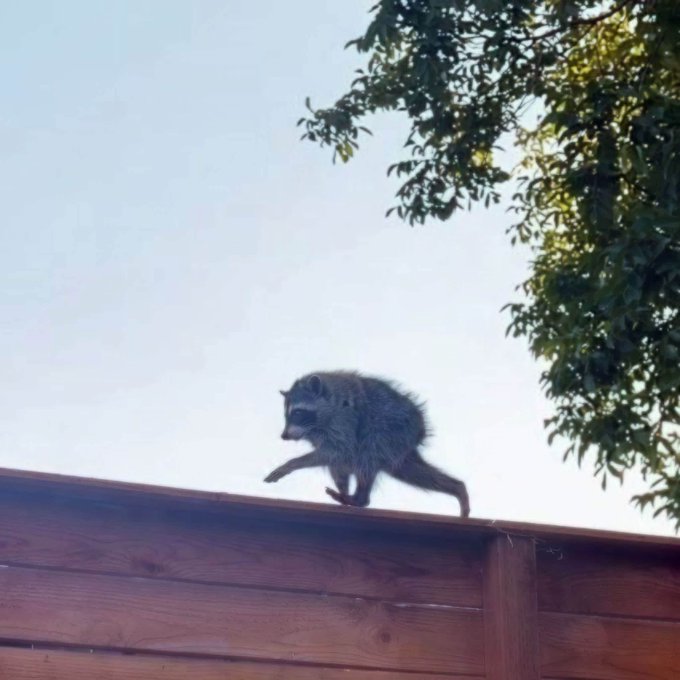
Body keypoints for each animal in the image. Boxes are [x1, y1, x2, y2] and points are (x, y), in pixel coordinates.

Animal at [264, 371, 470, 517]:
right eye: (286, 415)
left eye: (298, 412)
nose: (284, 436)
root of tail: (420, 428)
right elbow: (336, 460)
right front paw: (343, 485)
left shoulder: (344, 419)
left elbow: (339, 451)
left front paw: (291, 464)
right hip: (400, 443)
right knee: (408, 469)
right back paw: (456, 487)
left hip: (393, 428)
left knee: (368, 452)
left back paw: (360, 498)